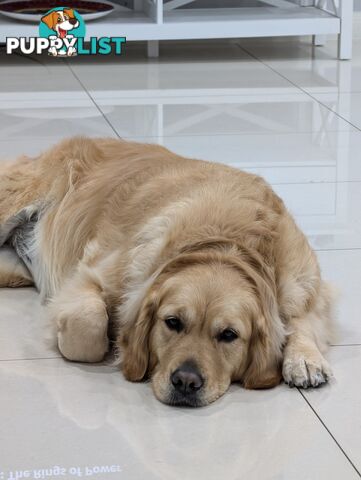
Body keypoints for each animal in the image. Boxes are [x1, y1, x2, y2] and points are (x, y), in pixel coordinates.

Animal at [0, 137, 332, 406]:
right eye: (172, 322)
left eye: (229, 335)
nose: (186, 381)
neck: (228, 243)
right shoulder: (95, 276)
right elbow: (89, 327)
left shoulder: (304, 282)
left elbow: (305, 317)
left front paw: (305, 359)